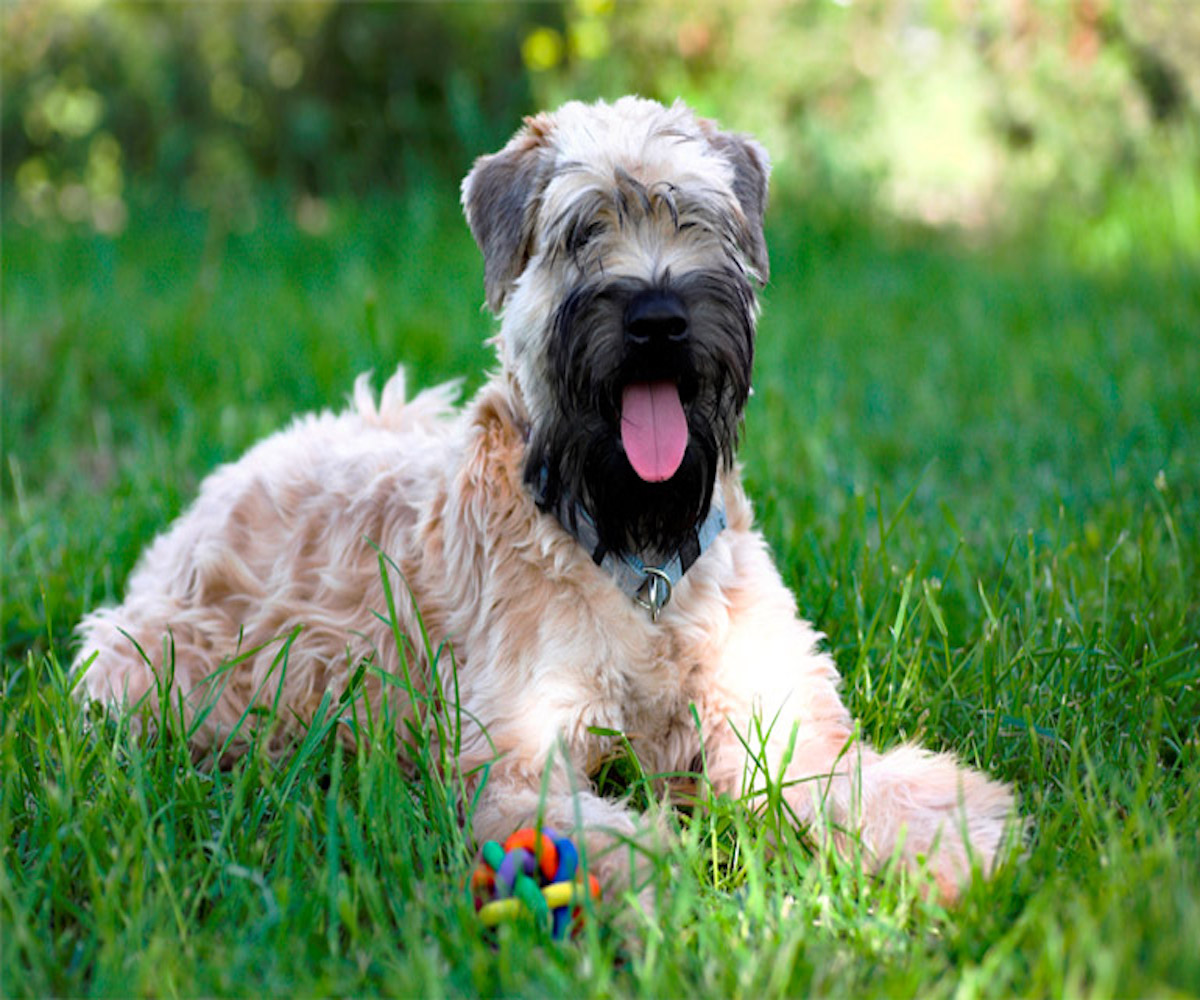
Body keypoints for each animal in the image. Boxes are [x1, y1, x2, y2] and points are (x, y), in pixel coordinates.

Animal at [72, 97, 1012, 902]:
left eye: (696, 218)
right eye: (582, 229)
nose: (659, 318)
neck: (640, 560)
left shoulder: (776, 708)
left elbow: (853, 781)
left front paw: (952, 847)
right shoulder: (518, 754)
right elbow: (606, 839)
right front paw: (675, 896)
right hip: (143, 668)